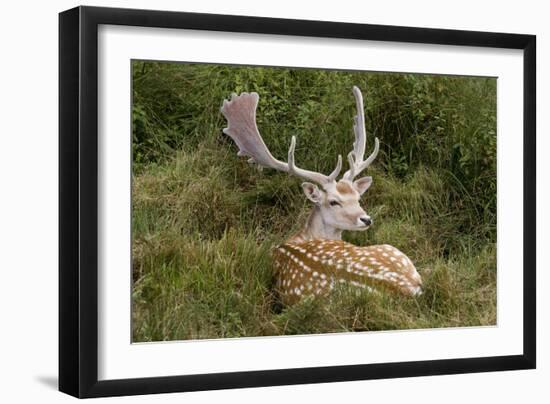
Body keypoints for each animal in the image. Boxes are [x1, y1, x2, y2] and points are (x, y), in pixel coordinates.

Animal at [222, 87, 424, 304]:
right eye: (334, 202)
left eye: (358, 198)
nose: (366, 219)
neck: (299, 237)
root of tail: (406, 288)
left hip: (392, 251)